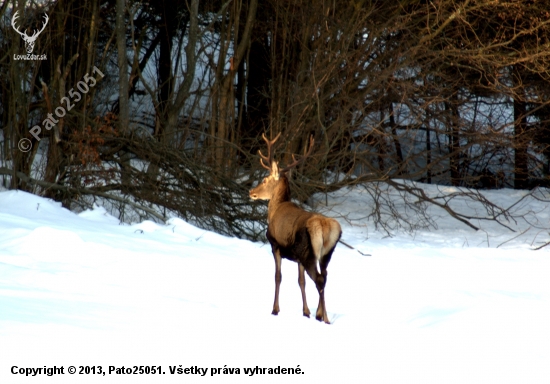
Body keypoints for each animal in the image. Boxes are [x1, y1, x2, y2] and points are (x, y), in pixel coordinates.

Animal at [250, 134, 340, 322]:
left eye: (264, 179)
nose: (251, 192)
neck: (275, 209)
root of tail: (324, 226)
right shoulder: (297, 257)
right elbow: (301, 281)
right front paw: (305, 312)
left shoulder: (275, 245)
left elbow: (278, 277)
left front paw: (275, 309)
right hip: (325, 254)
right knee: (325, 276)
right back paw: (320, 314)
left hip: (308, 253)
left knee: (319, 279)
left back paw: (324, 318)